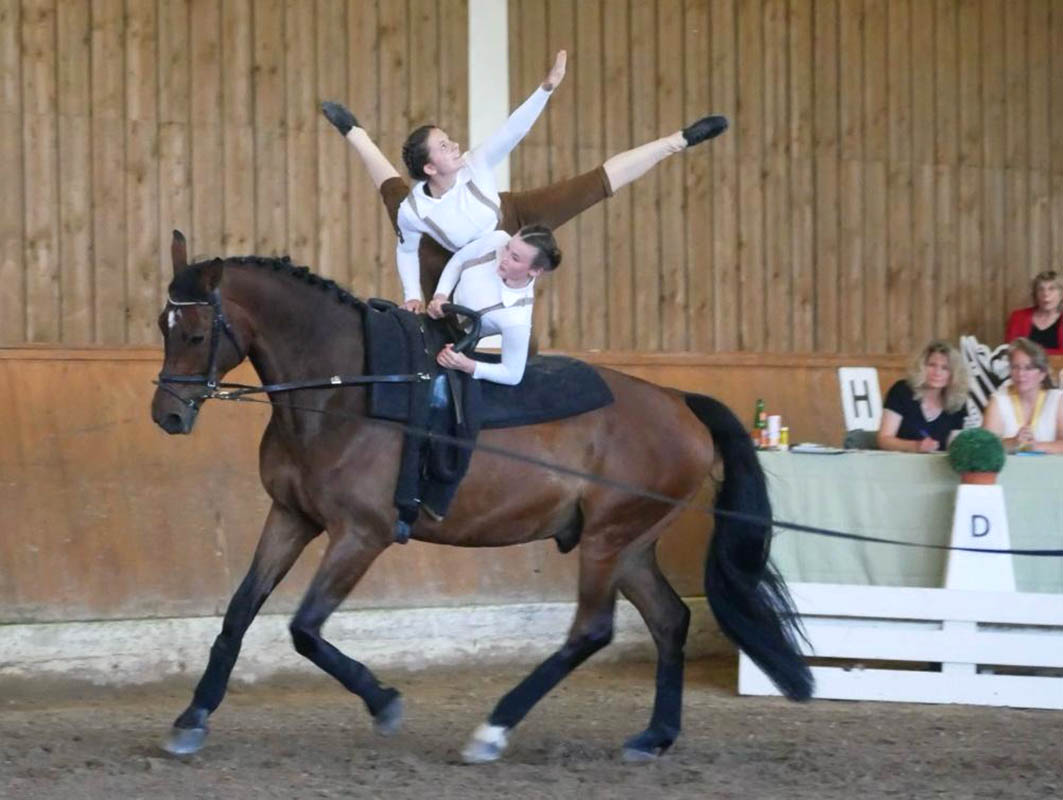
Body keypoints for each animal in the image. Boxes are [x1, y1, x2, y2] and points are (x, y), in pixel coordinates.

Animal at [149, 229, 812, 760]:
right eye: (162, 326)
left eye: (198, 332)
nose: (167, 417)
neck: (345, 390)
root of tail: (680, 403)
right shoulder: (291, 515)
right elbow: (240, 610)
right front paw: (192, 719)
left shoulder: (361, 534)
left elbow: (305, 628)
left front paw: (384, 702)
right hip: (631, 543)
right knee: (670, 620)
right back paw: (654, 737)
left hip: (607, 537)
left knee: (592, 631)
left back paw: (493, 731)